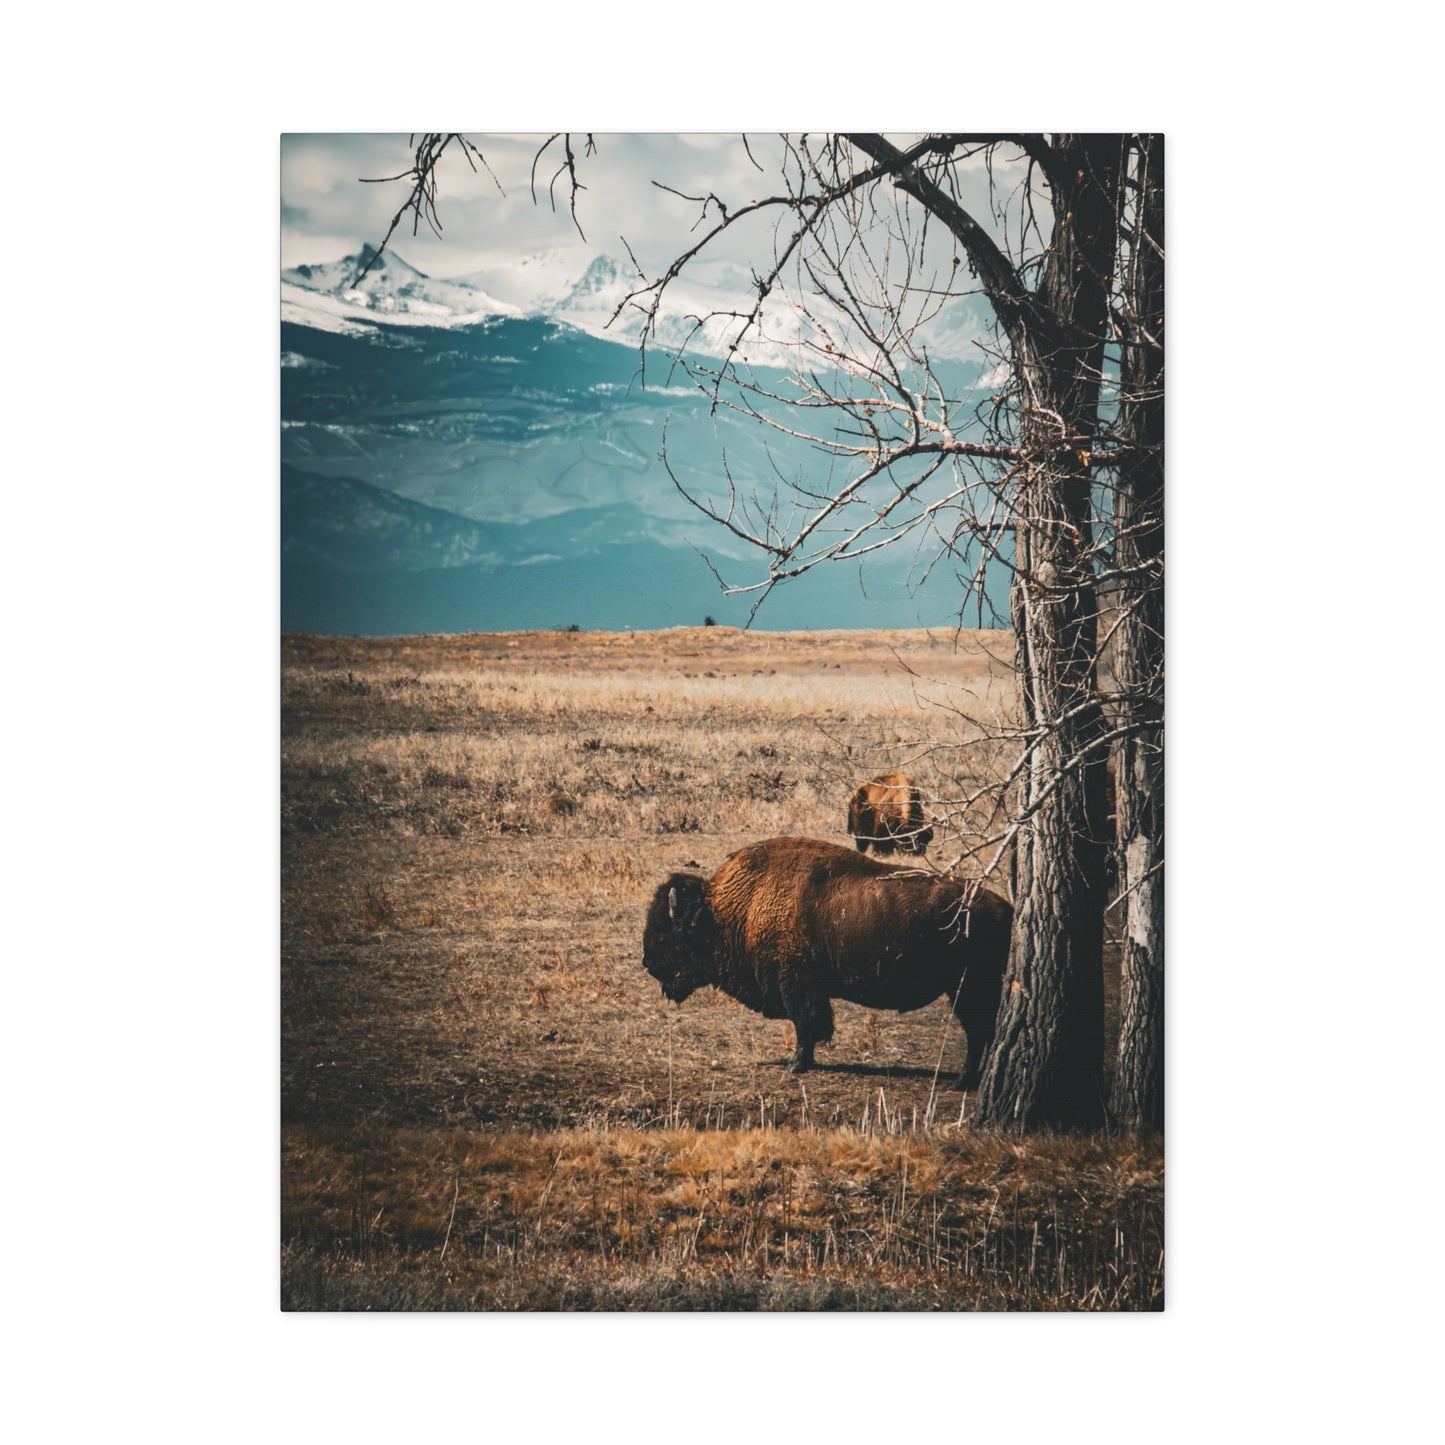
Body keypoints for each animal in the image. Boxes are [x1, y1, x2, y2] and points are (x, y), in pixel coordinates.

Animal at [642, 837, 1009, 1085]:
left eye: (667, 929)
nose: (649, 963)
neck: (732, 908)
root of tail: (1003, 907)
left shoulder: (797, 986)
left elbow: (807, 1026)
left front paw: (796, 1064)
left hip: (966, 989)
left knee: (978, 1031)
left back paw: (963, 1081)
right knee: (982, 1031)